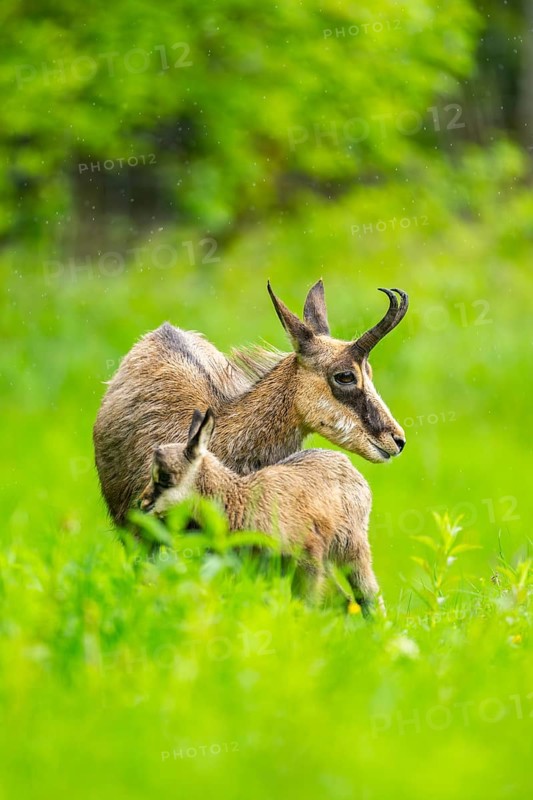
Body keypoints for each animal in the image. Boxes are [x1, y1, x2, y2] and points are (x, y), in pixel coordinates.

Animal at [140, 408, 382, 614]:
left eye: (165, 476)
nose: (143, 504)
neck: (241, 500)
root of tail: (346, 463)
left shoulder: (308, 560)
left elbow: (306, 604)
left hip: (353, 548)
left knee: (368, 595)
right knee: (345, 601)